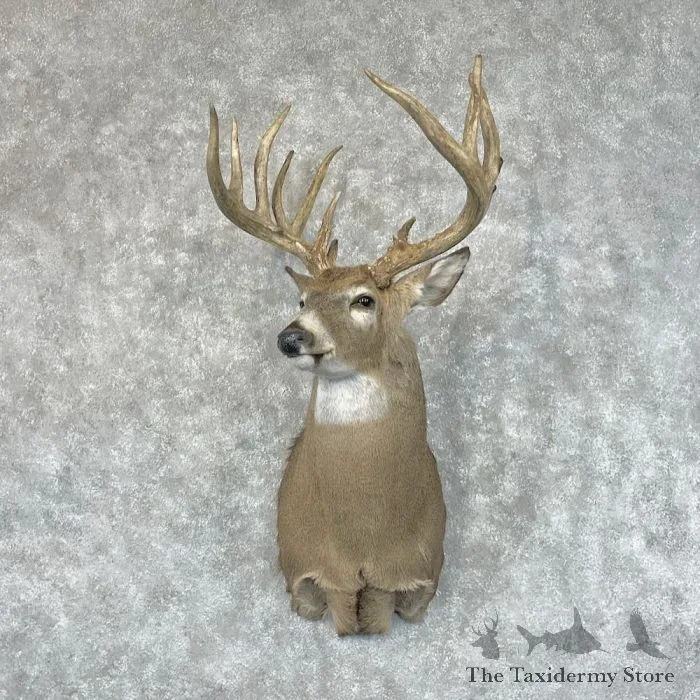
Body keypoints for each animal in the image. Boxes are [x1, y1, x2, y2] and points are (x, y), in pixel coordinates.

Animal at [206, 55, 501, 635]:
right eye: (302, 298)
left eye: (364, 300)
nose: (291, 336)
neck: (363, 536)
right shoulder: (307, 568)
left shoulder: (417, 575)